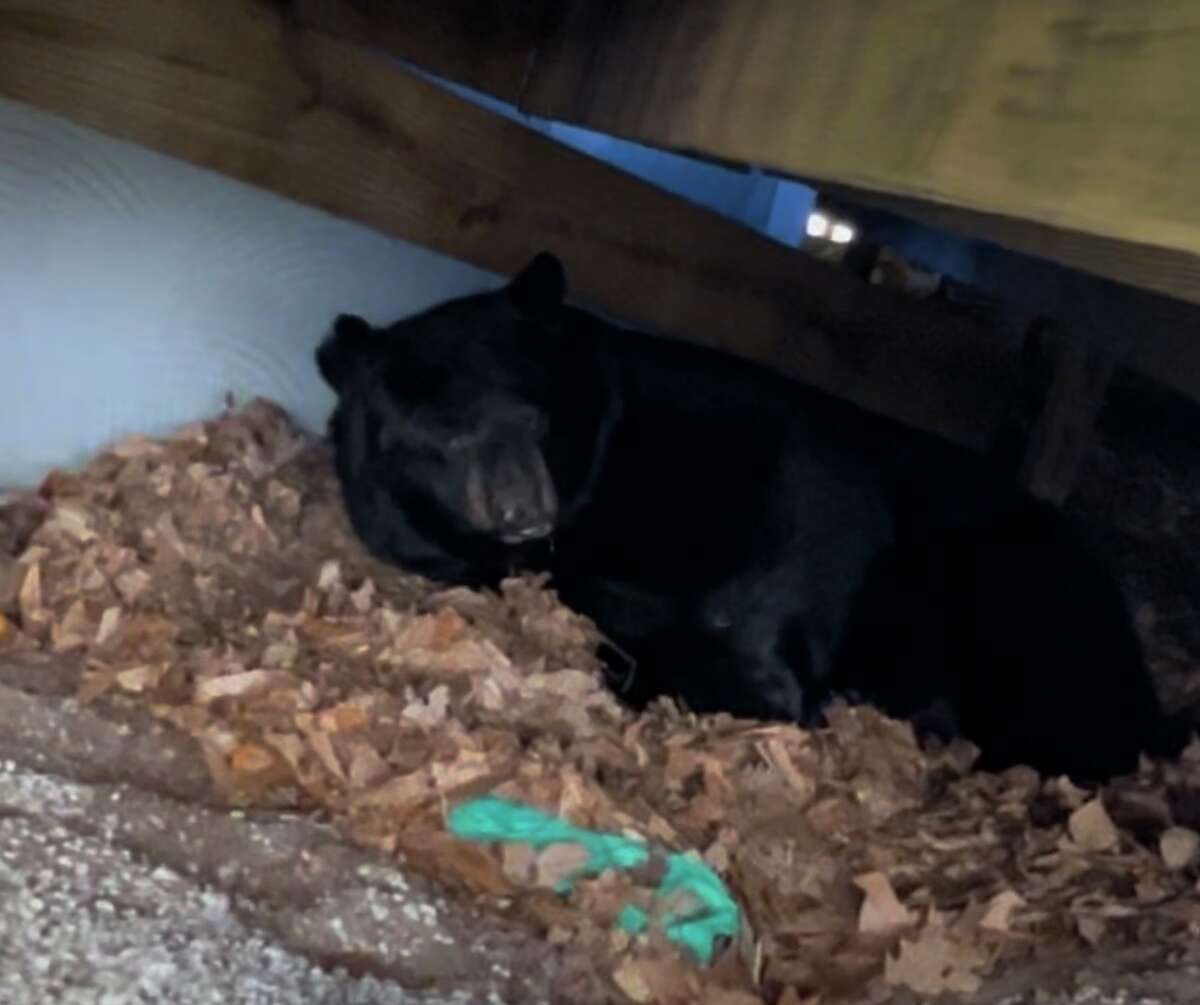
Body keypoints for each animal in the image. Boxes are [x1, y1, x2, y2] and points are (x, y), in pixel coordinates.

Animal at [316, 251, 1185, 781]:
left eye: (535, 417)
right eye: (444, 436)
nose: (524, 508)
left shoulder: (777, 473)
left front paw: (760, 680)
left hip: (1010, 591)